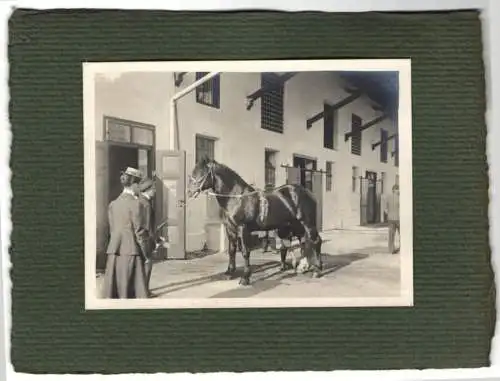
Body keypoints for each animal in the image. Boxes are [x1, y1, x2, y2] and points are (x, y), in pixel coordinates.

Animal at [186, 156, 322, 284]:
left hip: (307, 223)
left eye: (201, 173)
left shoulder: (243, 229)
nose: (189, 192)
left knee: (316, 241)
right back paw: (303, 267)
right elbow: (231, 250)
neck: (236, 198)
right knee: (304, 242)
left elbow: (245, 252)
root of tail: (308, 193)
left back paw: (317, 271)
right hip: (296, 225)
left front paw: (245, 278)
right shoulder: (230, 229)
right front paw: (229, 272)